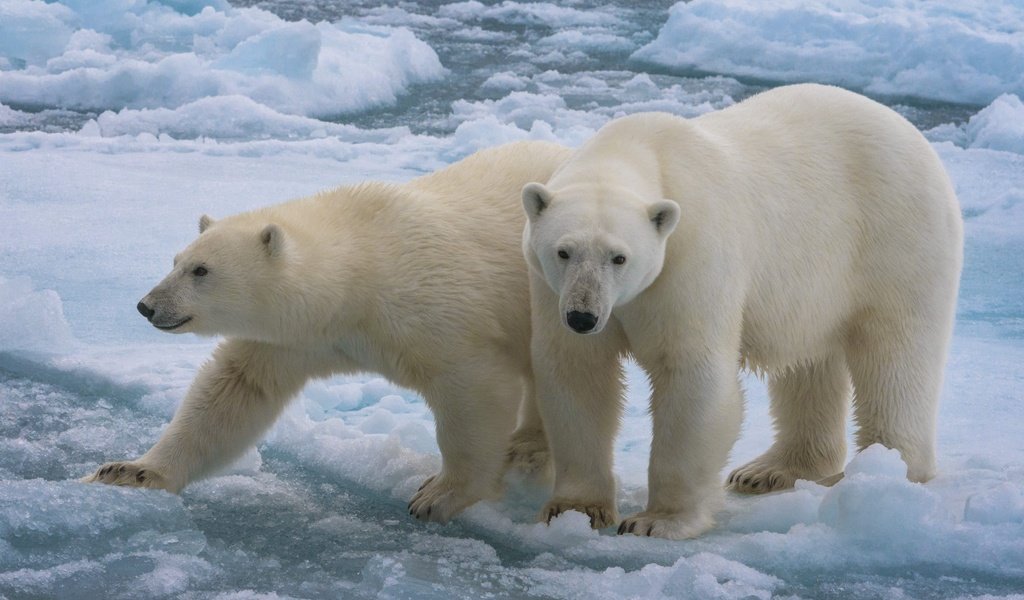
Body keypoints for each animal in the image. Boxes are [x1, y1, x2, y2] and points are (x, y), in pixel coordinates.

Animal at [82, 139, 573, 518]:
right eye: (176, 260)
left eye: (201, 270)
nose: (147, 306)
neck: (361, 273)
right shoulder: (294, 339)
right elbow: (234, 391)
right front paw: (129, 471)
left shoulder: (437, 312)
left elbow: (473, 390)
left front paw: (438, 495)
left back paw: (530, 449)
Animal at [524, 82, 962, 536]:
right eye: (563, 251)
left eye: (619, 257)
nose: (583, 316)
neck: (638, 150)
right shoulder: (549, 289)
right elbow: (578, 374)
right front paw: (575, 509)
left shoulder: (691, 258)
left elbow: (690, 373)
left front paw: (656, 520)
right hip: (815, 286)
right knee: (812, 363)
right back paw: (770, 470)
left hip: (895, 239)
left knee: (896, 357)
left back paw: (884, 473)